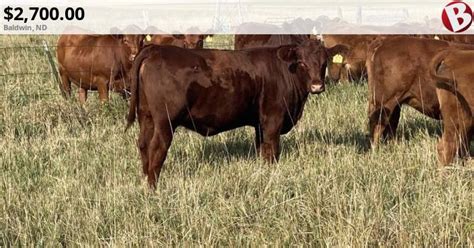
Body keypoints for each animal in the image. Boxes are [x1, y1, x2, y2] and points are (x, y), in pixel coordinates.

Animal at [126, 41, 348, 188]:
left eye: (324, 61)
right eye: (302, 62)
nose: (317, 86)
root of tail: (156, 49)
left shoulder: (259, 123)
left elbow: (262, 149)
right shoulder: (273, 119)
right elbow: (272, 150)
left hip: (146, 117)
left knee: (143, 144)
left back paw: (144, 179)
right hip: (165, 121)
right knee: (157, 147)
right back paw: (153, 186)